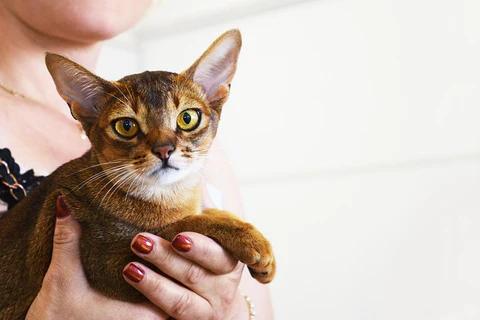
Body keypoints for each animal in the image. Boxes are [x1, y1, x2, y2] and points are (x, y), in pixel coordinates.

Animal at [0, 29, 276, 318]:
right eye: (126, 126)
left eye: (187, 118)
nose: (164, 150)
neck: (167, 197)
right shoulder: (109, 261)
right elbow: (179, 226)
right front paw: (249, 239)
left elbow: (204, 213)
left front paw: (250, 237)